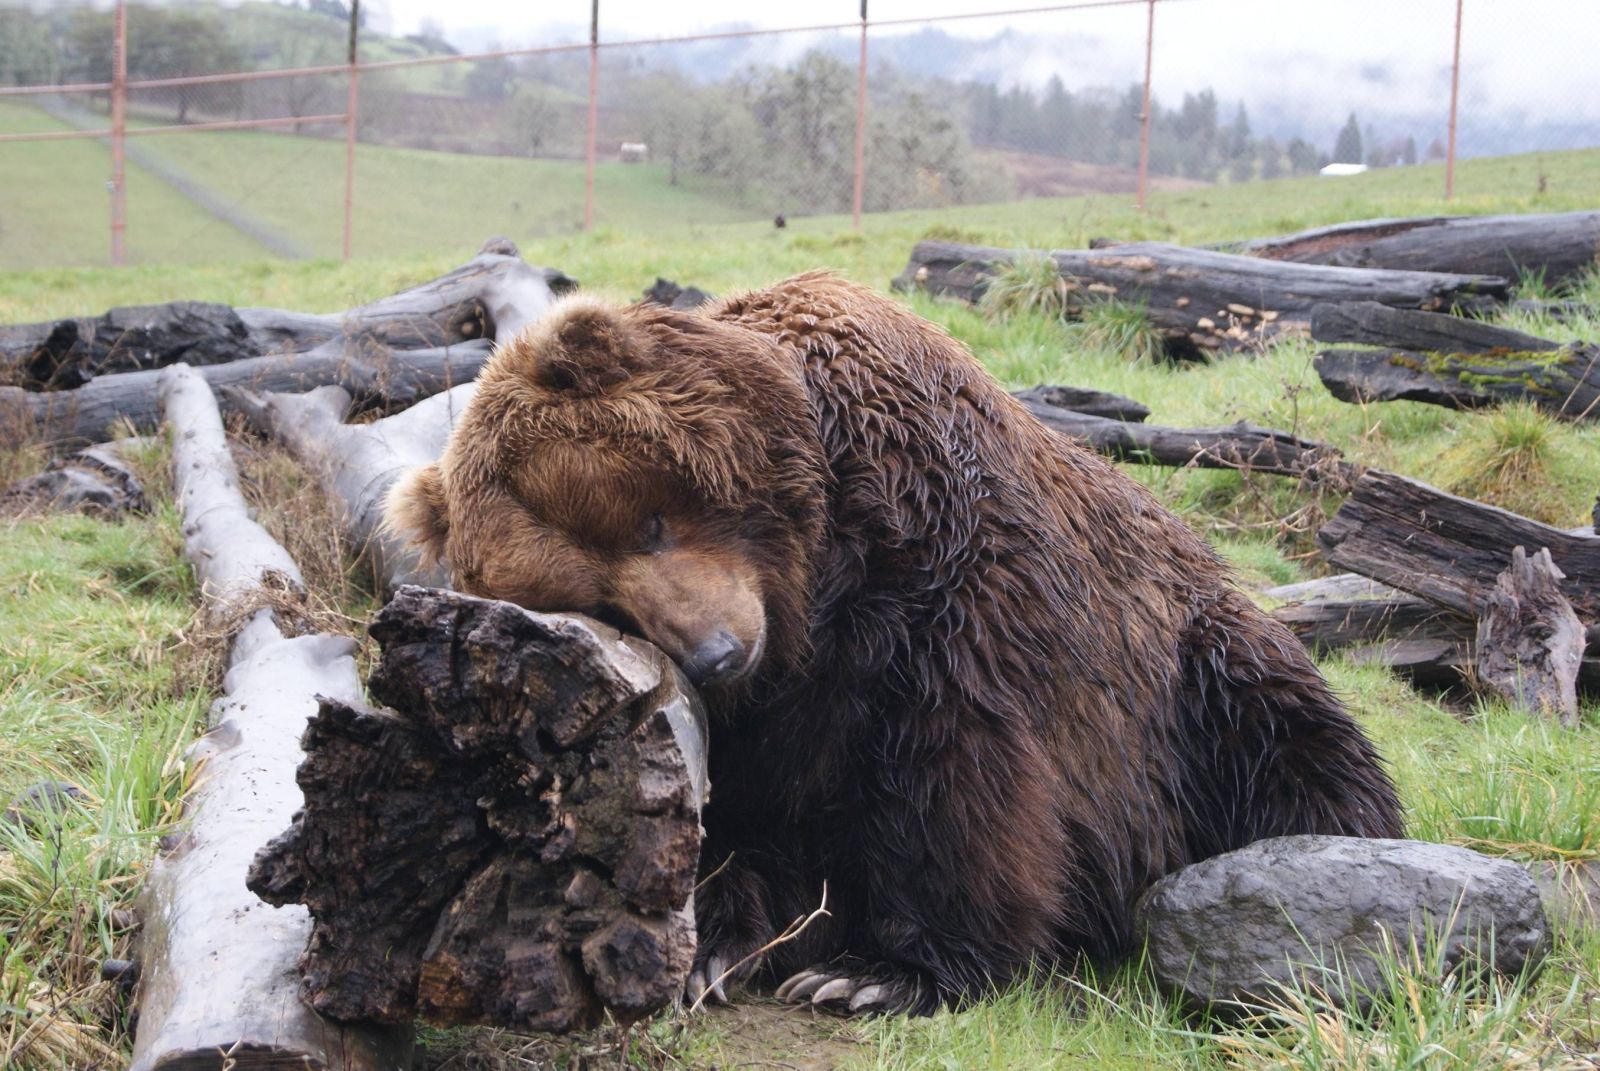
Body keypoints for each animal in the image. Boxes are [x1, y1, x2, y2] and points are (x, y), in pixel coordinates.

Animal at [387, 272, 1401, 1018]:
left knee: (1294, 744)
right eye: (608, 603)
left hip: (1197, 672)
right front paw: (718, 939)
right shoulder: (775, 707)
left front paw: (878, 971)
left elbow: (955, 769)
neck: (821, 570)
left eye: (648, 519)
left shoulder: (946, 583)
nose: (715, 652)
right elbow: (750, 807)